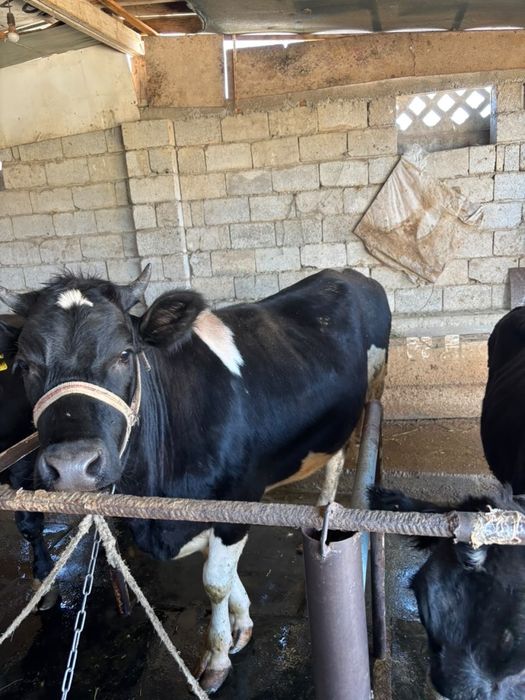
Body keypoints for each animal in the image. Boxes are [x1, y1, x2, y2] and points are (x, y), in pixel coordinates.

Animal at [0, 266, 391, 692]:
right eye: (24, 365)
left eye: (125, 354)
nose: (72, 464)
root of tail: (347, 273)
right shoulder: (200, 511)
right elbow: (225, 575)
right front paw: (242, 625)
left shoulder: (237, 502)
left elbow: (215, 582)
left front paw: (217, 659)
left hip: (370, 394)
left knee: (340, 460)